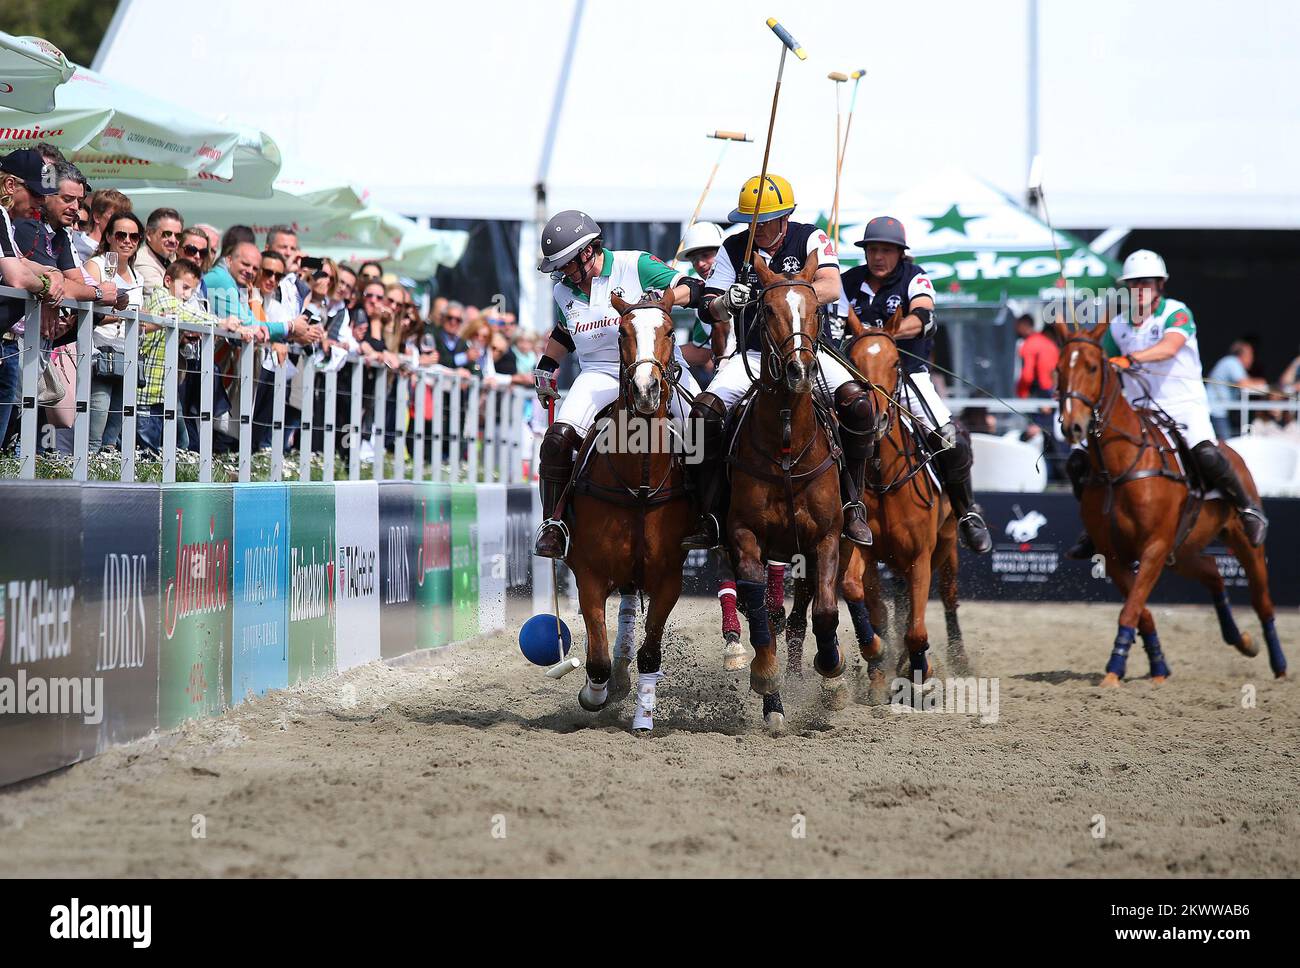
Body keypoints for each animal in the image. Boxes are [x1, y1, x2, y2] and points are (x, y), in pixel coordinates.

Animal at [564, 291, 696, 727]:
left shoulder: (670, 578)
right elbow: (597, 658)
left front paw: (643, 718)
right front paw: (593, 695)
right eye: (622, 332)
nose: (645, 390)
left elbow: (650, 654)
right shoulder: (587, 573)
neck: (639, 482)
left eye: (670, 331)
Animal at [728, 253, 847, 727]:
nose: (800, 371)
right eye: (768, 310)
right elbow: (761, 614)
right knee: (765, 612)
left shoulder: (828, 536)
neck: (786, 446)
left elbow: (827, 611)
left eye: (816, 310)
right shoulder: (745, 536)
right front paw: (767, 683)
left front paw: (832, 674)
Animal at [1060, 320, 1284, 686]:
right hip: (1182, 552)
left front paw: (1114, 669)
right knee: (1213, 573)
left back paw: (1278, 664)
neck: (1119, 467)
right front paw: (1157, 667)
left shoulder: (1154, 546)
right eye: (1058, 369)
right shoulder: (1113, 554)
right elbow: (1140, 611)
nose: (1071, 426)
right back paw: (1240, 640)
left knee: (1262, 601)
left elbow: (1131, 609)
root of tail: (1232, 449)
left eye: (1092, 367)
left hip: (1243, 543)